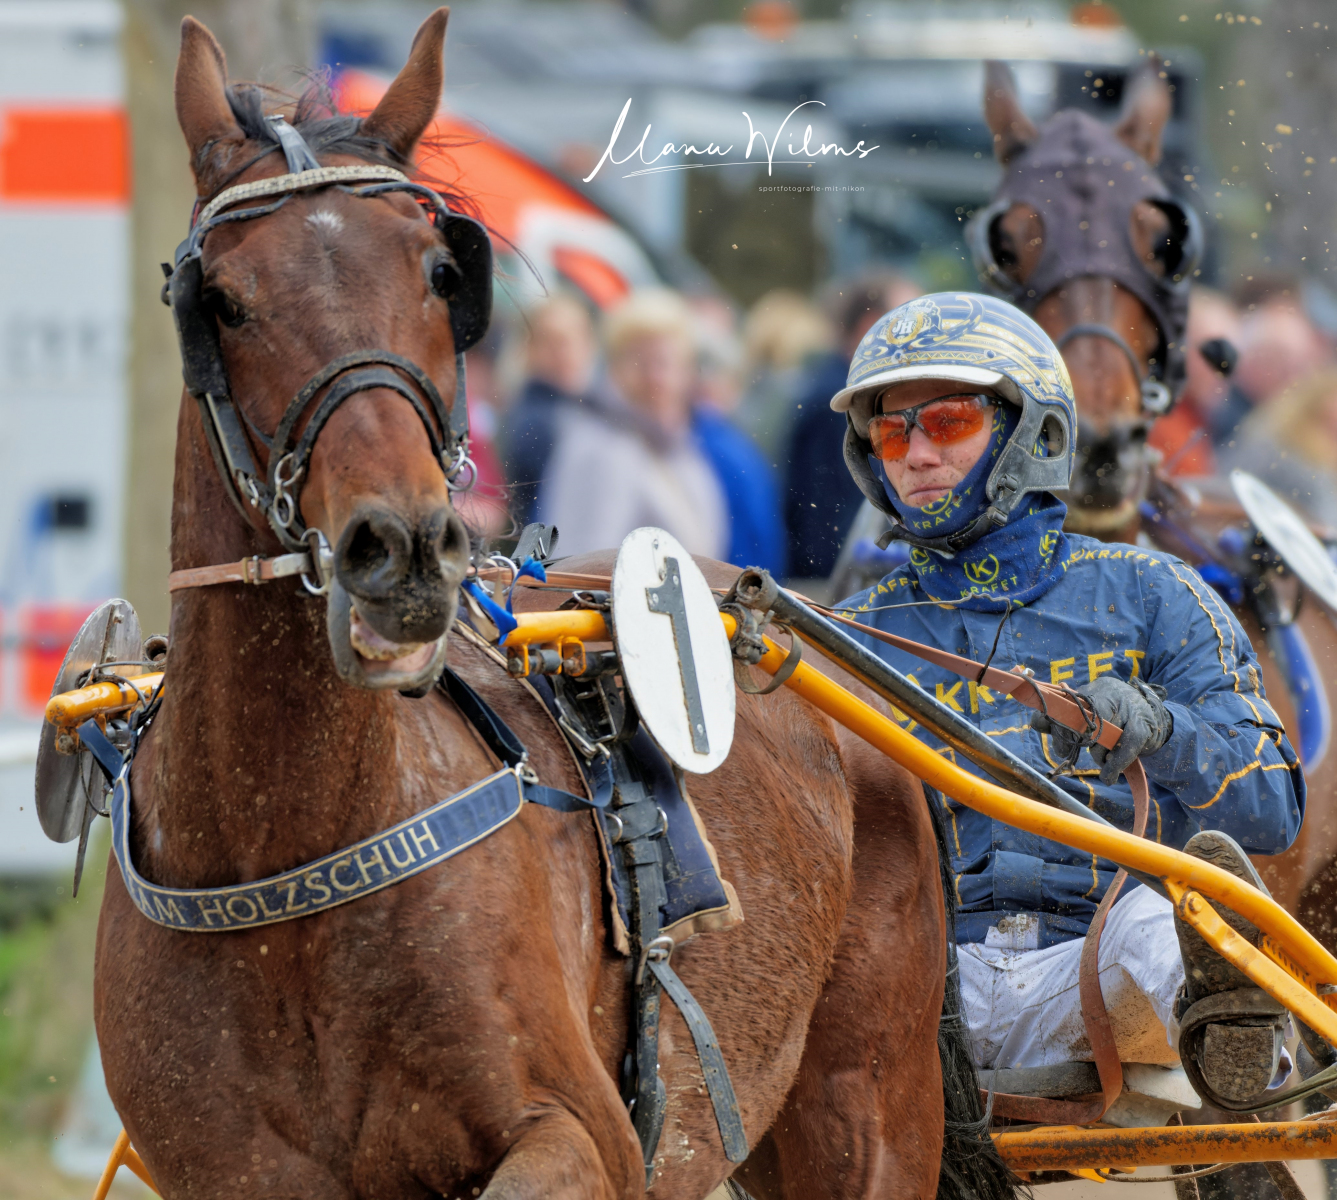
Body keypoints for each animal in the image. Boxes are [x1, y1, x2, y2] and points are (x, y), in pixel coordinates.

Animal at [93, 13, 988, 1199]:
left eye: (441, 273)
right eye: (223, 302)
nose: (402, 546)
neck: (282, 847)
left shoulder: (580, 1132)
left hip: (867, 1100)